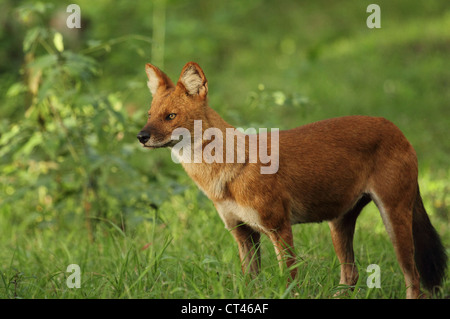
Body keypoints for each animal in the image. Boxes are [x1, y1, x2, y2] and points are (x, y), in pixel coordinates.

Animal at [137, 62, 446, 298]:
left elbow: (290, 282)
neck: (224, 171)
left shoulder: (279, 227)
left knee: (414, 279)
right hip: (339, 224)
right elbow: (251, 283)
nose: (141, 136)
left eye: (171, 116)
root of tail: (396, 128)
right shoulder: (242, 234)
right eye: (149, 115)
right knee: (351, 273)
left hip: (394, 218)